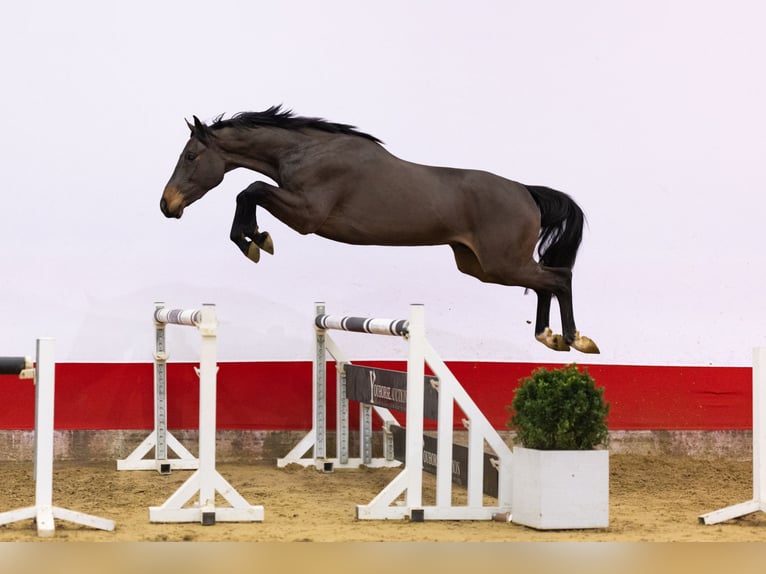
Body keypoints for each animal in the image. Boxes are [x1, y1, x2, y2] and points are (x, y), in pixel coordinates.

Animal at [160, 106, 599, 353]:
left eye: (191, 155)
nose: (167, 205)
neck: (306, 151)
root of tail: (526, 191)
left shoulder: (307, 216)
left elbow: (249, 190)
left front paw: (255, 240)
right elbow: (249, 192)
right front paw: (254, 239)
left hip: (501, 264)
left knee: (559, 277)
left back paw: (576, 339)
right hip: (480, 266)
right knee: (545, 282)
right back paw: (549, 337)